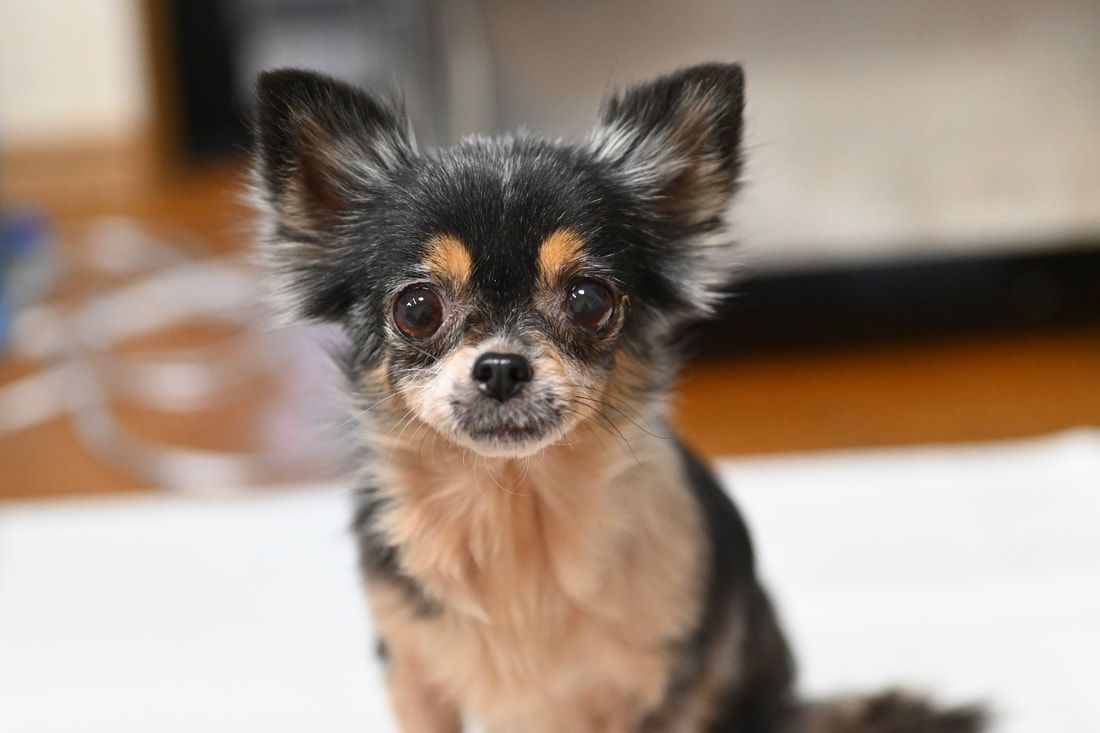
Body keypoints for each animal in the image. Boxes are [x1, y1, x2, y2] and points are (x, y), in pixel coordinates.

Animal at [253, 64, 985, 730]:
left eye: (589, 300)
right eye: (416, 309)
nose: (501, 366)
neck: (514, 508)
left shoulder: (667, 686)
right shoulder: (413, 675)